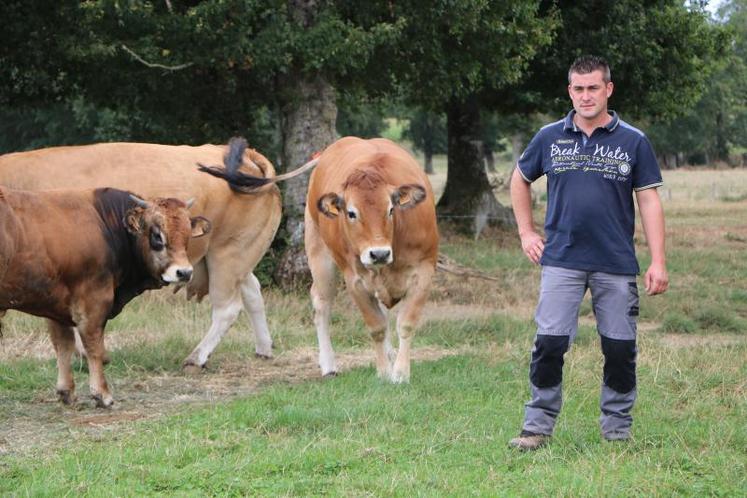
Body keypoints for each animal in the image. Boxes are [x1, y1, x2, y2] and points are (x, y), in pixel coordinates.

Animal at [0, 138, 316, 368]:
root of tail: (245, 156)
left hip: (228, 254)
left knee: (228, 307)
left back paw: (197, 357)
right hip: (236, 254)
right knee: (253, 292)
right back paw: (263, 348)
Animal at [0, 185, 210, 406]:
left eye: (187, 236)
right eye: (157, 236)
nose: (184, 272)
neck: (106, 225)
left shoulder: (55, 305)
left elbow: (63, 345)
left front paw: (66, 391)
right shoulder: (94, 300)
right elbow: (94, 346)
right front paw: (102, 393)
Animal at [304, 136, 442, 382]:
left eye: (390, 209)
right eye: (351, 213)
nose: (379, 253)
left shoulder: (424, 273)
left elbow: (406, 324)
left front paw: (400, 373)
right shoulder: (355, 281)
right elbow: (376, 327)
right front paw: (384, 373)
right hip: (319, 256)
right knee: (321, 303)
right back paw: (328, 365)